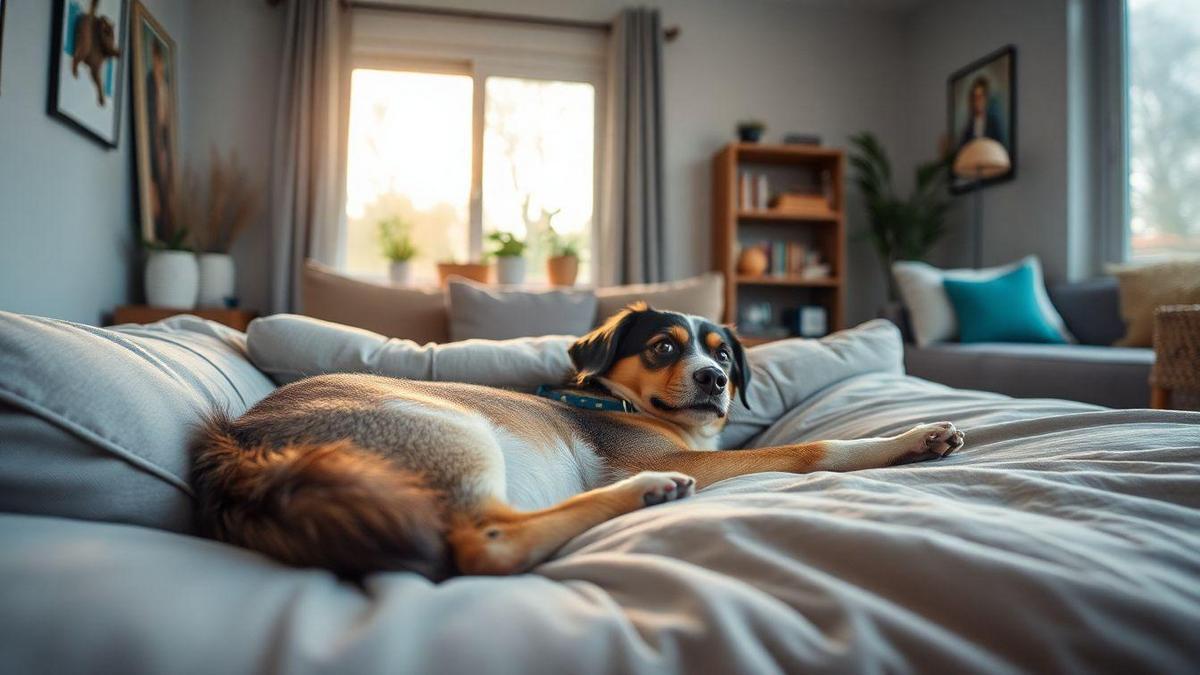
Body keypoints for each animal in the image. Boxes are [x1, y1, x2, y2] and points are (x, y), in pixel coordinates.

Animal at [194, 302, 964, 576]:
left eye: (723, 351)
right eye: (662, 346)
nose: (716, 378)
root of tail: (239, 446)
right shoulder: (695, 452)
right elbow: (808, 450)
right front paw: (913, 436)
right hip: (455, 429)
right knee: (488, 543)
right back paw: (648, 490)